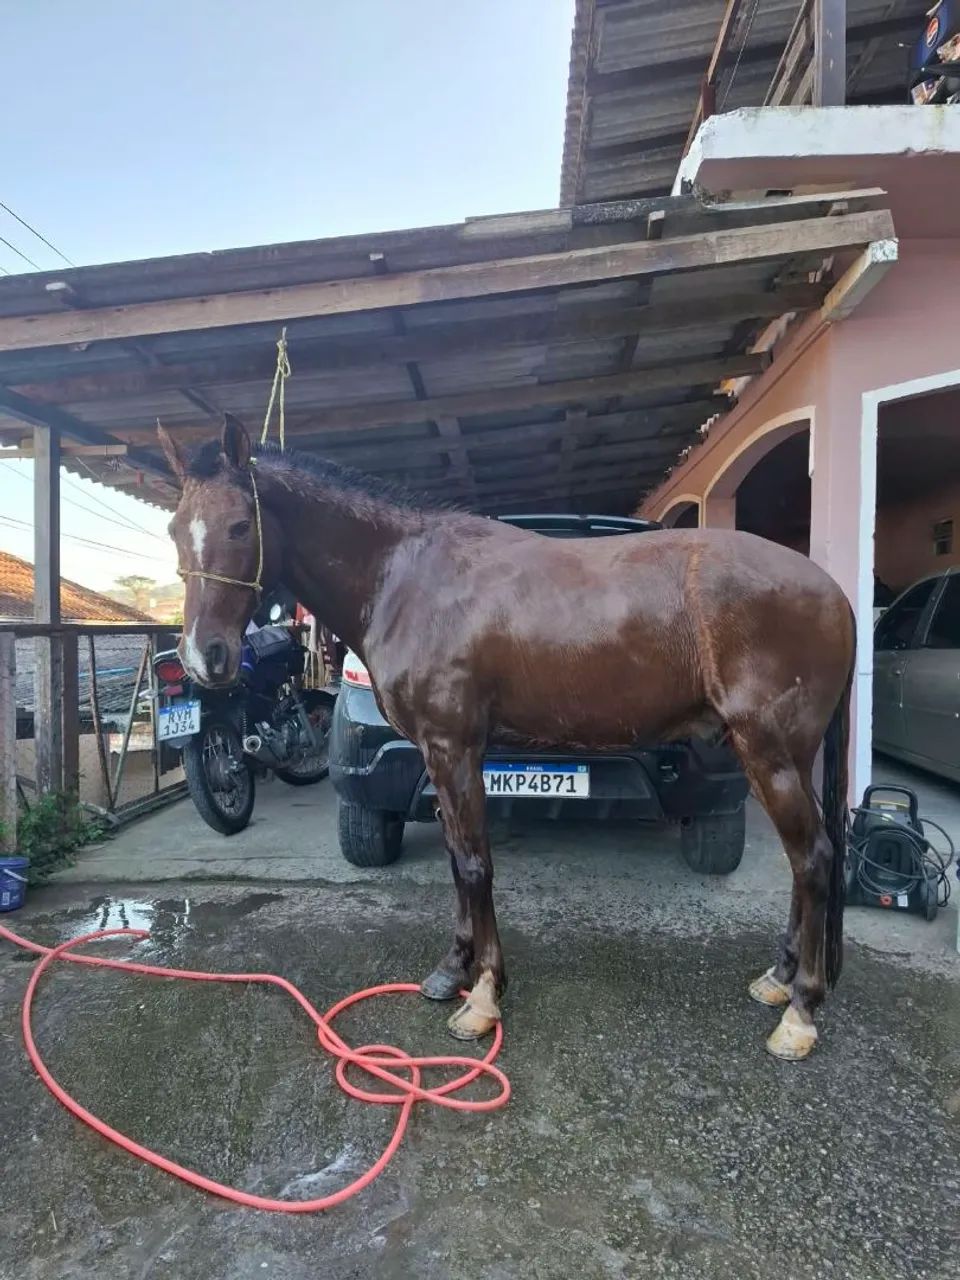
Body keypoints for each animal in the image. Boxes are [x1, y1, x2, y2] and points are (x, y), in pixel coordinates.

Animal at [160, 416, 855, 1061]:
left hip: (767, 753)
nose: (203, 657)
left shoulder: (454, 747)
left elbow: (474, 864)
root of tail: (834, 593)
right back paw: (779, 978)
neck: (406, 578)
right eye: (175, 530)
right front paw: (451, 972)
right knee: (806, 859)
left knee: (813, 857)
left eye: (239, 526)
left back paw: (800, 1011)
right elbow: (455, 859)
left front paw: (483, 997)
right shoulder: (437, 757)